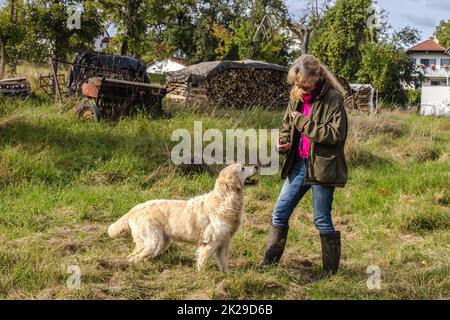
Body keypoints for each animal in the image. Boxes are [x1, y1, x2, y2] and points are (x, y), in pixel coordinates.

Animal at [107, 164, 258, 272]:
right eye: (243, 168)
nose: (257, 166)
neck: (225, 199)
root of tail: (135, 208)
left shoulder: (225, 243)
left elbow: (224, 262)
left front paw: (227, 275)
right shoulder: (210, 242)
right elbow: (202, 261)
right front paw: (202, 276)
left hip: (161, 243)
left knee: (136, 254)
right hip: (153, 242)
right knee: (133, 256)